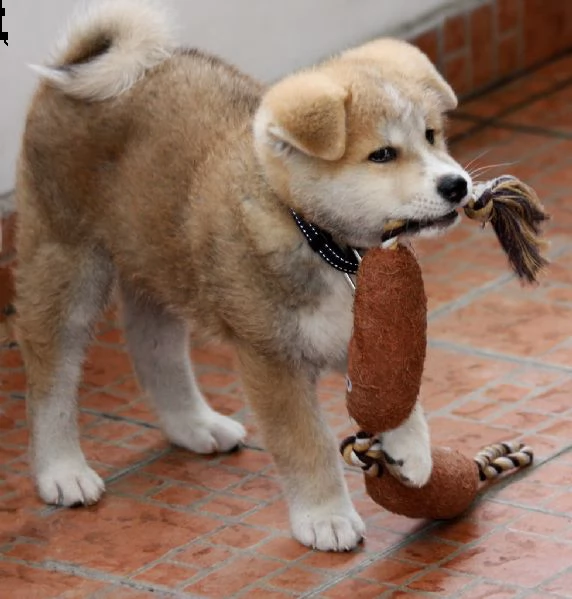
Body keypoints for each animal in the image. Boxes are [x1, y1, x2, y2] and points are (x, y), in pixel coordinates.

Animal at [16, 1, 474, 552]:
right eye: (382, 154)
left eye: (431, 136)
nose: (457, 185)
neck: (321, 241)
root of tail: (73, 70)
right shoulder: (271, 358)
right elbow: (306, 444)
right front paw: (324, 516)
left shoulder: (362, 334)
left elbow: (397, 390)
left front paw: (411, 448)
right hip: (68, 264)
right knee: (51, 376)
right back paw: (62, 471)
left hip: (161, 263)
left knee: (155, 352)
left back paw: (193, 425)